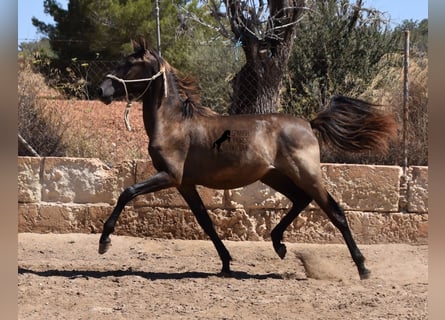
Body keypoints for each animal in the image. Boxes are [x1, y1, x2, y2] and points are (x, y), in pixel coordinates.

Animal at [97, 38, 396, 280]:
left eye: (128, 64)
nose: (101, 90)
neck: (173, 123)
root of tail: (309, 124)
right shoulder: (185, 184)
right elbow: (205, 221)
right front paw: (226, 264)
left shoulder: (170, 176)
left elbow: (127, 192)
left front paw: (104, 242)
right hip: (276, 175)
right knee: (301, 200)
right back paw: (278, 244)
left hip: (307, 174)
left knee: (336, 212)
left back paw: (363, 268)